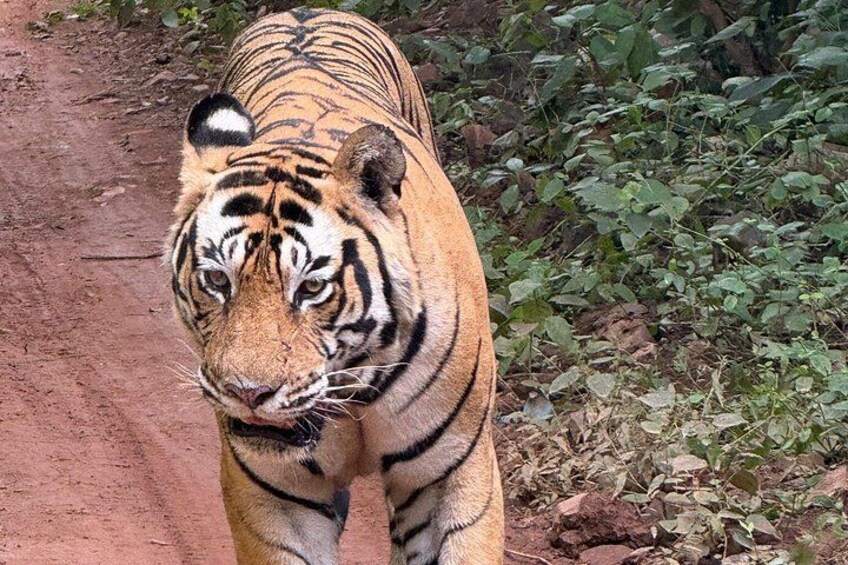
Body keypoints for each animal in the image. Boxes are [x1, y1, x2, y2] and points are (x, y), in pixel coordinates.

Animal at [167, 8, 504, 564]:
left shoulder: (450, 472)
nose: (248, 393)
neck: (353, 391)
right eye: (217, 280)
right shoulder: (274, 491)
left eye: (310, 288)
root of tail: (306, 10)